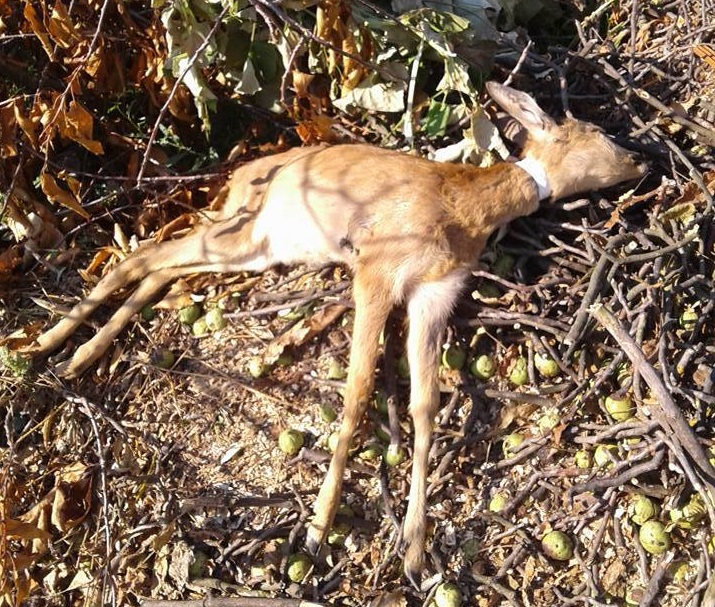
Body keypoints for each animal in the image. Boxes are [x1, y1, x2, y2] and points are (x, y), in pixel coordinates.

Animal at [30, 82, 648, 584]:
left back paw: (76, 354)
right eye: (597, 130)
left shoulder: (433, 293)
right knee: (142, 256)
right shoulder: (375, 270)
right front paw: (318, 525)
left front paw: (414, 550)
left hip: (257, 248)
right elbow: (355, 394)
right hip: (248, 233)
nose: (641, 159)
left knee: (163, 269)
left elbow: (425, 406)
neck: (463, 208)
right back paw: (52, 347)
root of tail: (234, 178)